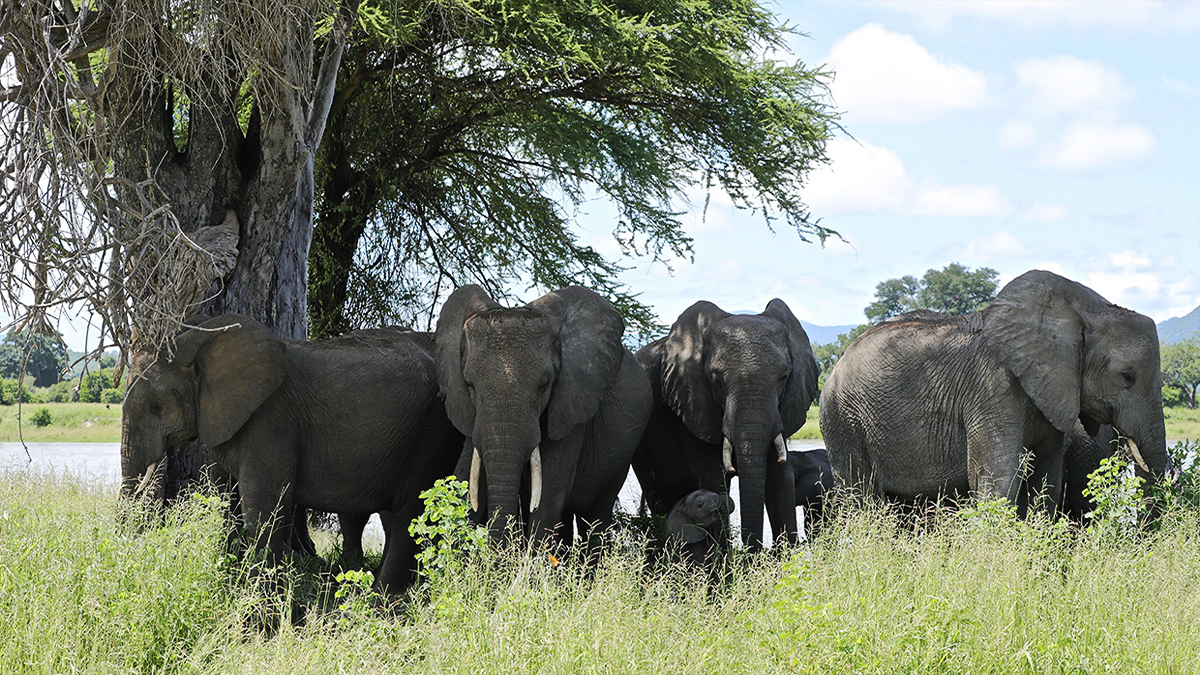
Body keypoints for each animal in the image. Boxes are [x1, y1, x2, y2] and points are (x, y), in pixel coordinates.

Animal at [120, 315, 463, 592]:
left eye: (156, 407)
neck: (197, 340)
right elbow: (229, 501)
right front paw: (229, 578)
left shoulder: (272, 422)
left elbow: (263, 507)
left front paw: (259, 604)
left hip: (431, 432)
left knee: (409, 514)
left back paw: (380, 602)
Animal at [434, 285, 652, 544]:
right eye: (469, 384)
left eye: (545, 384)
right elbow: (464, 477)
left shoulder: (573, 405)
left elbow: (549, 493)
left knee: (596, 514)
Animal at [632, 299, 820, 550]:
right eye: (715, 379)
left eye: (784, 376)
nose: (755, 554)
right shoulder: (693, 406)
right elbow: (714, 479)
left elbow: (780, 479)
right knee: (658, 496)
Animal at [820, 270, 1168, 513]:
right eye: (1127, 377)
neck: (1085, 309)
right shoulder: (991, 389)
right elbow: (998, 482)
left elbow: (1046, 484)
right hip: (843, 419)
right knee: (859, 498)